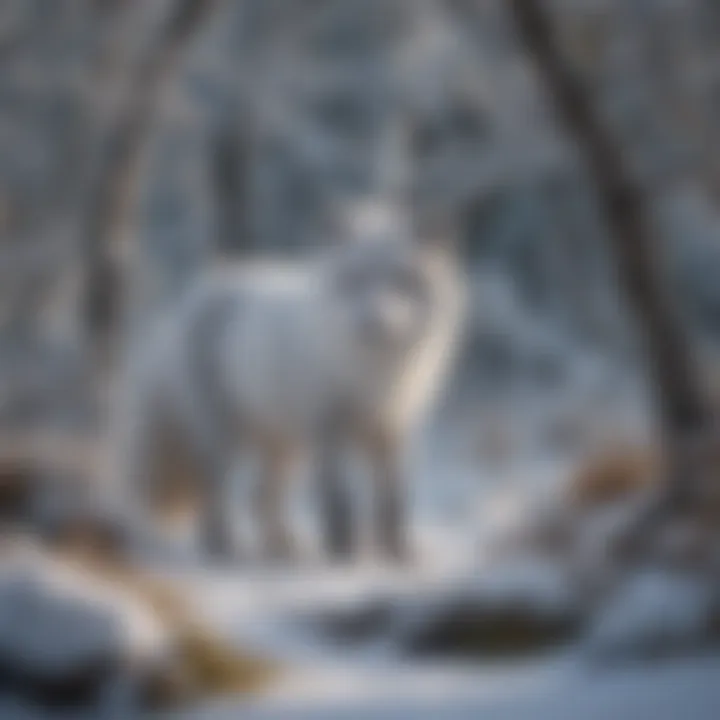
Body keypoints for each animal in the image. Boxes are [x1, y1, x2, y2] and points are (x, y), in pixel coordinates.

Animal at [121, 200, 464, 560]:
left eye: (403, 280)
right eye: (355, 279)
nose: (373, 323)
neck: (374, 379)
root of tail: (195, 293)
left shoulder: (393, 431)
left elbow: (393, 502)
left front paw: (399, 556)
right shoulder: (327, 431)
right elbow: (337, 498)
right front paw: (343, 553)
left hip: (285, 450)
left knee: (259, 498)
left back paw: (280, 546)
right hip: (224, 441)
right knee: (215, 492)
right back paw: (222, 546)